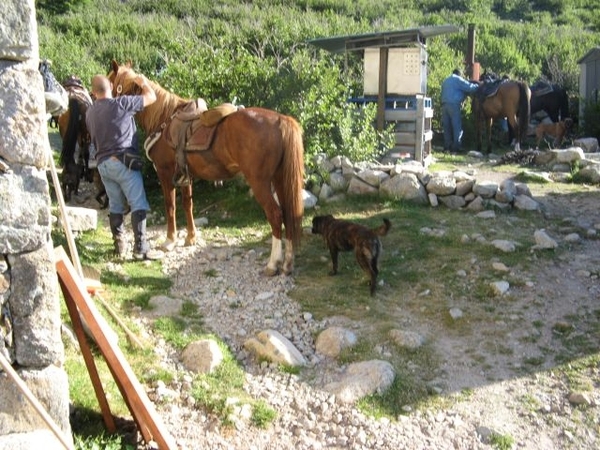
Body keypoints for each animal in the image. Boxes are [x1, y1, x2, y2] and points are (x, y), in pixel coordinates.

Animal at [107, 59, 304, 274]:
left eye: (110, 79)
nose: (96, 95)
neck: (163, 119)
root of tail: (281, 120)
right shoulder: (185, 176)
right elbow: (188, 205)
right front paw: (190, 238)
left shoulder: (165, 173)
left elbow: (170, 206)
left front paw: (169, 241)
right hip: (279, 179)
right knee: (289, 214)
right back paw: (288, 263)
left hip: (260, 182)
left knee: (276, 215)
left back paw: (272, 264)